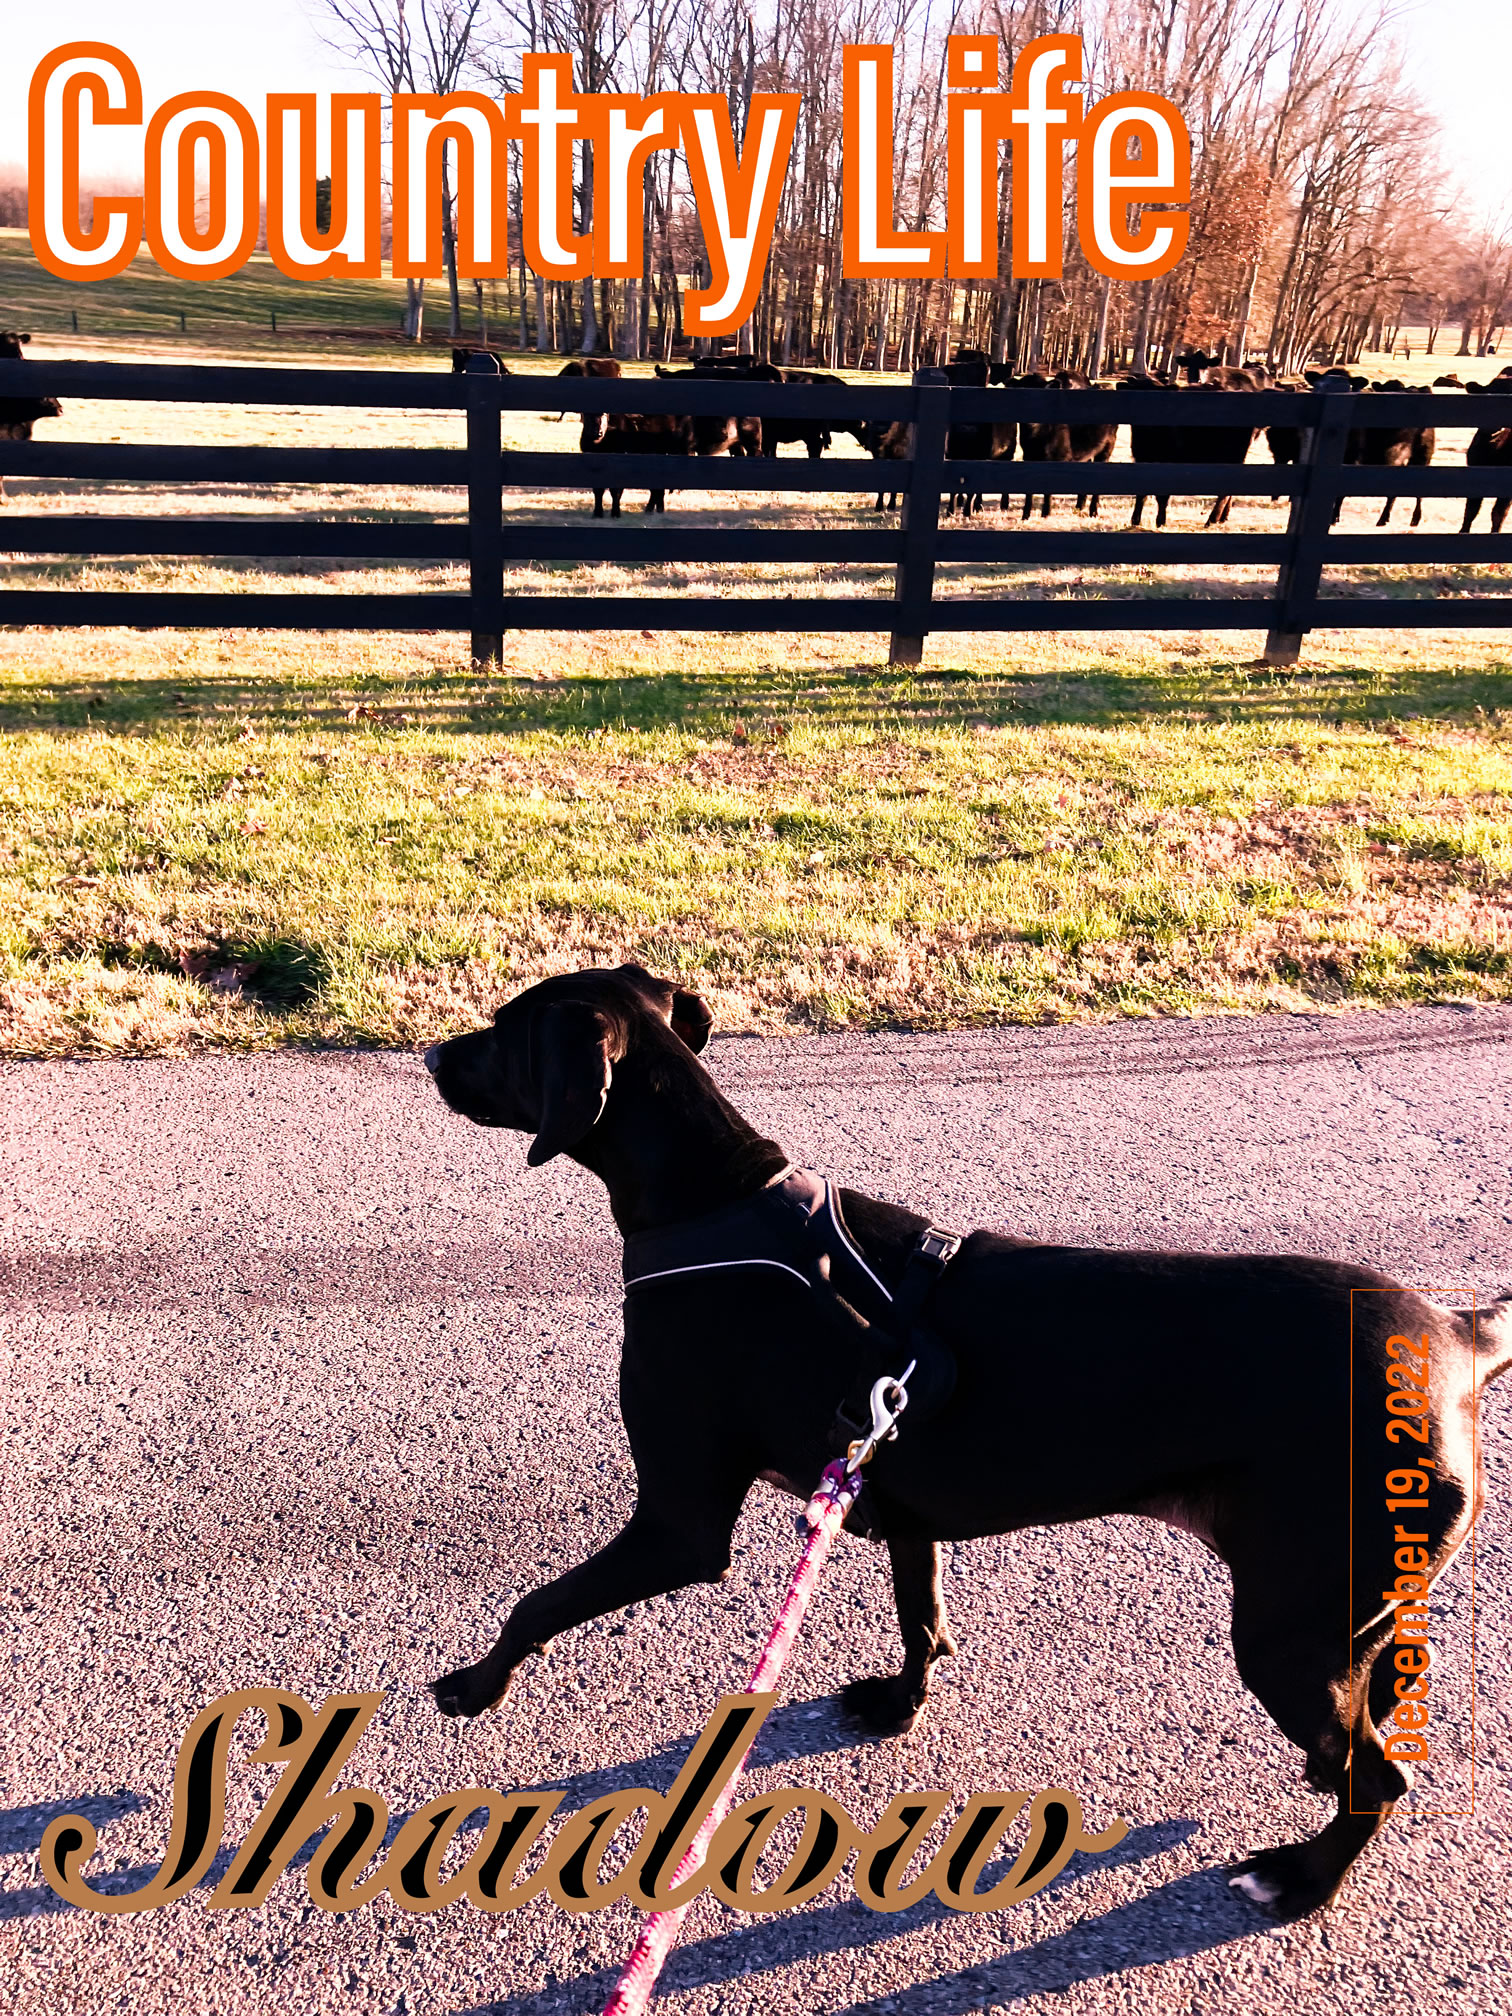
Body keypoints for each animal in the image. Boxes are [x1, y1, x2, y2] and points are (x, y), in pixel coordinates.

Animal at [427, 971, 1512, 1919]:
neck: (714, 1204)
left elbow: (536, 1603)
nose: (433, 1054)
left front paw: (475, 1686)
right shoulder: (893, 1492)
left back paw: (1302, 1880)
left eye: (504, 1030)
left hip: (1289, 1624)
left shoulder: (677, 1526)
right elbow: (923, 1618)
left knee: (1380, 1776)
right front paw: (901, 1704)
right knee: (1381, 1705)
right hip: (1357, 1602)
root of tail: (1461, 1334)